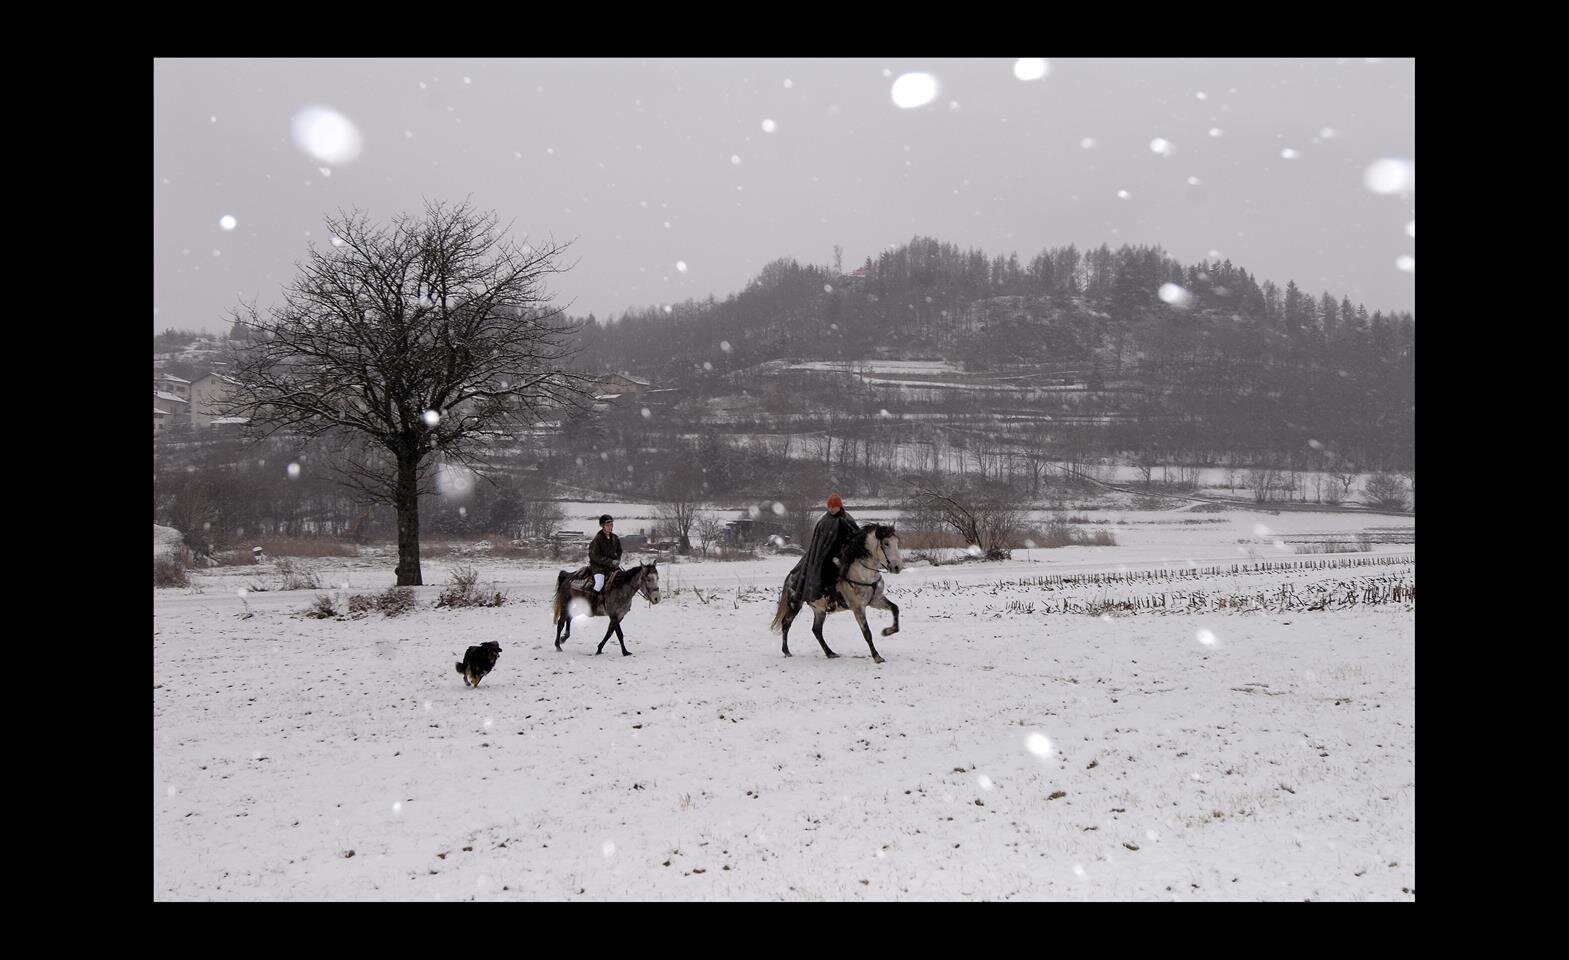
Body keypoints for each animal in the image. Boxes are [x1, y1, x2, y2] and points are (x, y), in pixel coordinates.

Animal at [769, 525, 903, 663]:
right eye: (886, 543)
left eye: (897, 542)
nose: (897, 567)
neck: (863, 573)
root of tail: (791, 576)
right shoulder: (858, 607)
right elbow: (867, 633)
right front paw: (877, 656)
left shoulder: (876, 600)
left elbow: (895, 608)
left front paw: (887, 631)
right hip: (795, 604)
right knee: (786, 623)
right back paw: (787, 651)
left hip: (819, 610)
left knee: (816, 630)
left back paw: (830, 653)